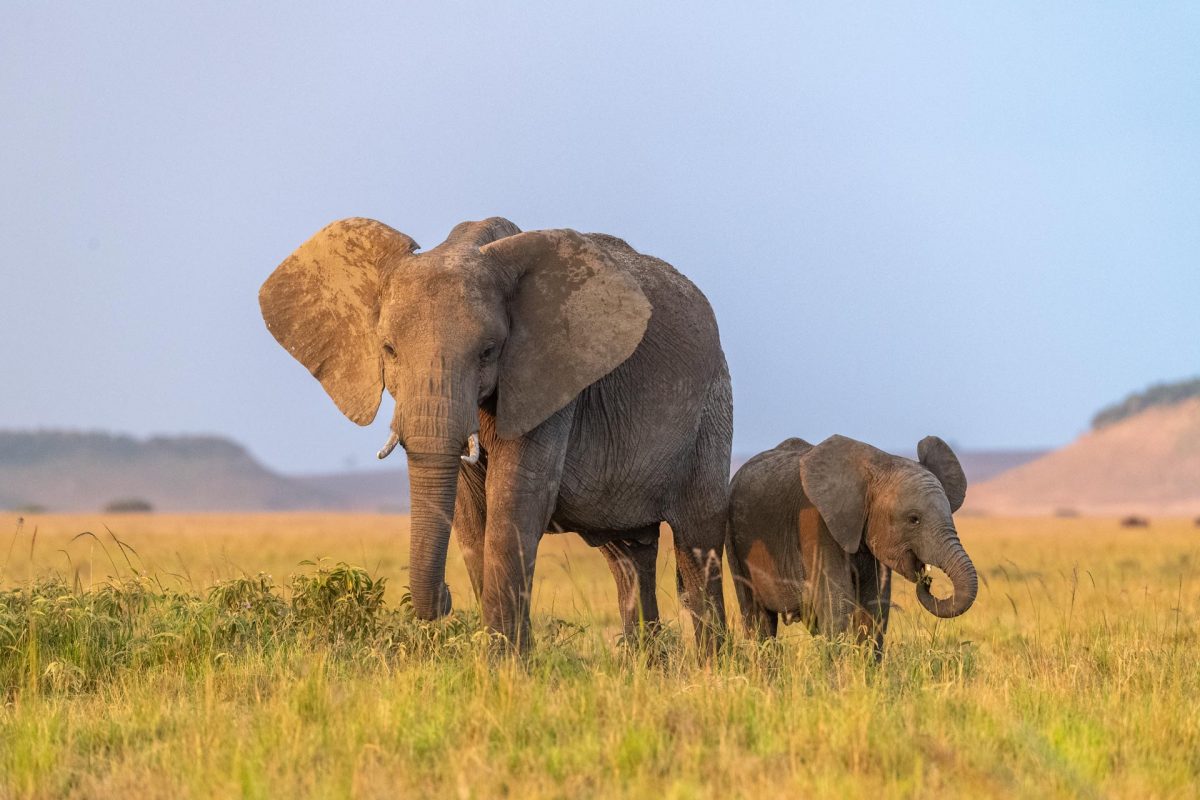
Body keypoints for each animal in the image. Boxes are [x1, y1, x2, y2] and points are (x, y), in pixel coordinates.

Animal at [261, 217, 729, 652]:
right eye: (389, 349)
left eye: (488, 352)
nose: (445, 598)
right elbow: (471, 523)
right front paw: (505, 660)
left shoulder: (549, 380)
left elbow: (513, 507)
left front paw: (508, 667)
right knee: (629, 557)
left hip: (711, 410)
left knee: (697, 548)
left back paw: (709, 668)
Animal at [724, 434, 979, 652]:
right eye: (913, 519)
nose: (926, 579)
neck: (878, 466)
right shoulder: (816, 524)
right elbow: (837, 604)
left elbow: (874, 606)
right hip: (735, 540)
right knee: (757, 616)